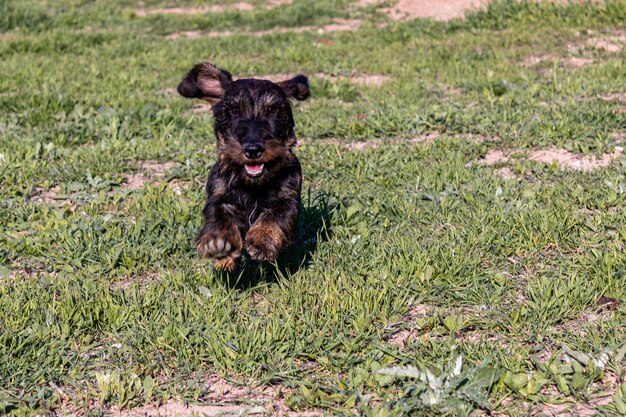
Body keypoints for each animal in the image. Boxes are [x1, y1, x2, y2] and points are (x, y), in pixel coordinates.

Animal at [177, 61, 308, 270]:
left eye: (272, 110)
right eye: (234, 110)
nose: (253, 149)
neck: (252, 184)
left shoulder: (288, 197)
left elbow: (275, 216)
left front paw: (261, 240)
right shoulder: (219, 195)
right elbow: (218, 215)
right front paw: (220, 245)